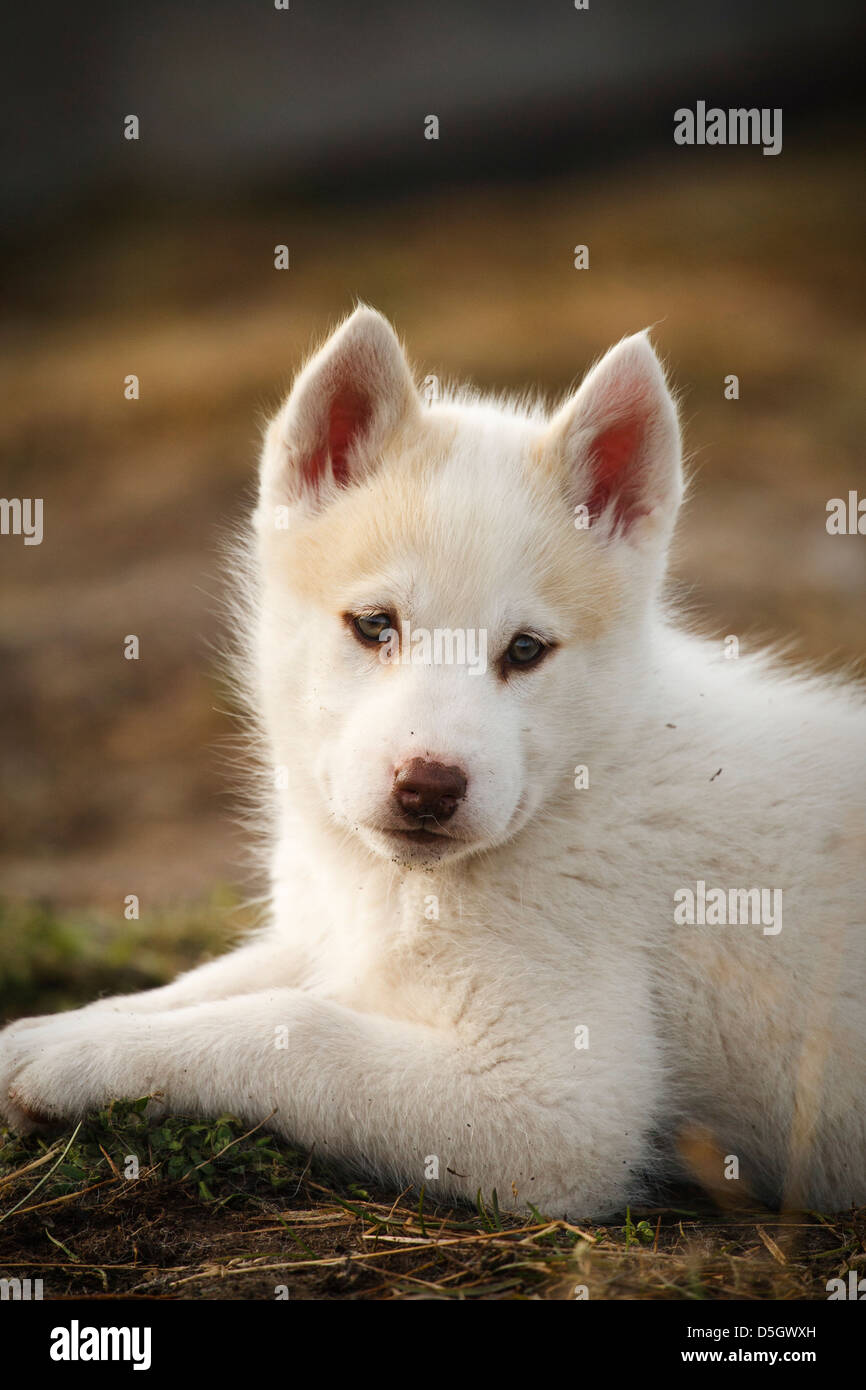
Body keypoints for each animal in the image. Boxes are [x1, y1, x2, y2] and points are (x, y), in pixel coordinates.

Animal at [1, 312, 866, 1217]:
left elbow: (295, 1029)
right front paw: (66, 1029)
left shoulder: (557, 1108)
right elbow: (219, 981)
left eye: (525, 650)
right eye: (375, 625)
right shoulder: (327, 935)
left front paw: (79, 1063)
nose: (429, 788)